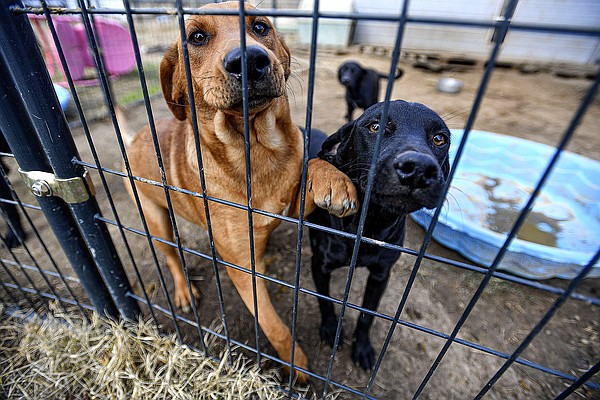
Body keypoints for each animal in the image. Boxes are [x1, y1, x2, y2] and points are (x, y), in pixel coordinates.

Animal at [123, 1, 356, 382]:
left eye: (260, 26)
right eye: (196, 37)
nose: (249, 59)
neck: (256, 149)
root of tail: (135, 137)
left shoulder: (293, 205)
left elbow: (312, 164)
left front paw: (333, 178)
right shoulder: (244, 269)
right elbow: (275, 326)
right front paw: (296, 366)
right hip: (157, 223)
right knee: (172, 257)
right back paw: (184, 291)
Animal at [310, 99, 450, 368]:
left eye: (440, 139)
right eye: (375, 126)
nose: (418, 168)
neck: (369, 225)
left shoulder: (381, 275)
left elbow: (367, 315)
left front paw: (362, 347)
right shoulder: (319, 265)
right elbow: (325, 301)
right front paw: (331, 330)